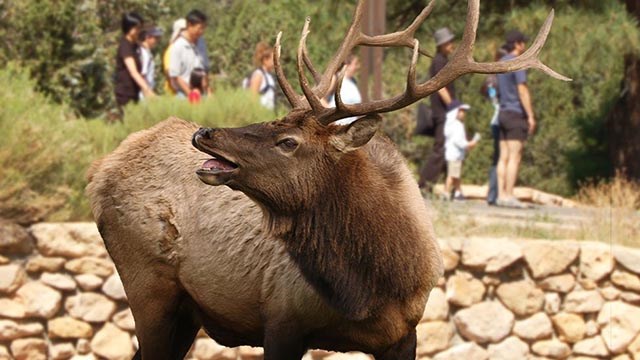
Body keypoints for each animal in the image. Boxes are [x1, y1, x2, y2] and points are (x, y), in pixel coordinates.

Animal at [86, 1, 568, 358]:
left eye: (288, 140)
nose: (204, 133)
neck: (371, 289)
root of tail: (99, 173)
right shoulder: (281, 319)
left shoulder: (404, 334)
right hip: (148, 284)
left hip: (184, 312)